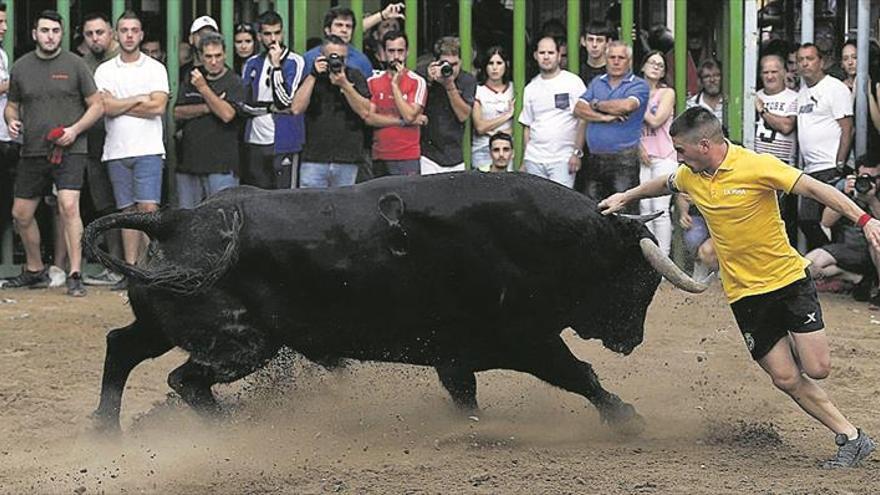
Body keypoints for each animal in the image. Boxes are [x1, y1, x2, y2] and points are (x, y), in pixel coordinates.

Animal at [82, 173, 704, 434]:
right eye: (639, 283)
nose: (632, 340)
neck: (545, 237)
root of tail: (176, 218)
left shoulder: (456, 352)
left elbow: (464, 394)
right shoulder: (527, 339)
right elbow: (579, 374)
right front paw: (626, 416)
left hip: (172, 324)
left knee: (123, 347)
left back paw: (106, 427)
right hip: (242, 343)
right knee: (185, 379)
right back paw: (228, 426)